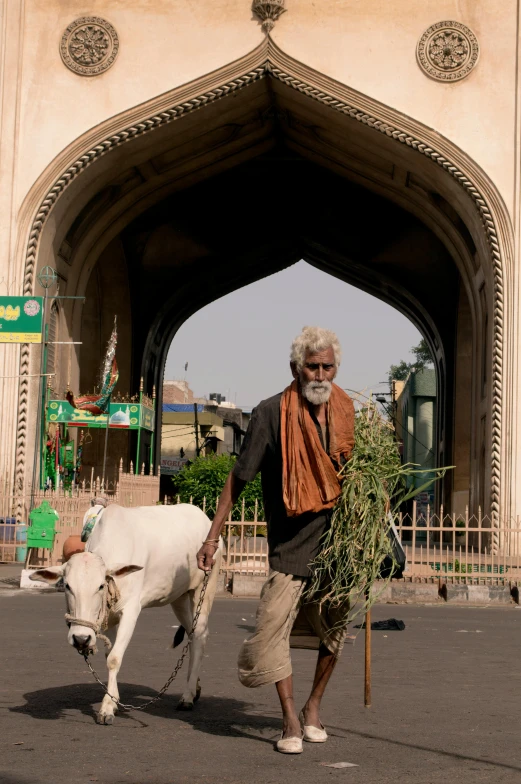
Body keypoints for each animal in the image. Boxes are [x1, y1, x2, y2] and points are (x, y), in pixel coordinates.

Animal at [31, 506, 219, 724]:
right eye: (68, 586)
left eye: (100, 586)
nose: (81, 638)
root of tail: (204, 517)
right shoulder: (109, 618)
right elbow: (108, 656)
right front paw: (113, 702)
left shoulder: (130, 611)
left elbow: (114, 658)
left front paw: (106, 708)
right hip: (178, 598)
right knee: (192, 634)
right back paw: (195, 688)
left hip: (204, 588)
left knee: (200, 634)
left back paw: (187, 696)